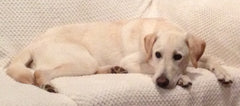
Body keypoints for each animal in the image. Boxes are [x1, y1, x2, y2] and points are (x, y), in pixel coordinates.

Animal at [5, 18, 232, 93]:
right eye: (157, 54)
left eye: (178, 56)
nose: (161, 82)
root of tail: (33, 43)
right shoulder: (133, 61)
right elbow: (152, 69)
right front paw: (183, 78)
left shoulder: (194, 56)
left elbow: (209, 58)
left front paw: (224, 73)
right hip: (84, 61)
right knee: (38, 73)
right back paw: (47, 85)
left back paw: (113, 69)